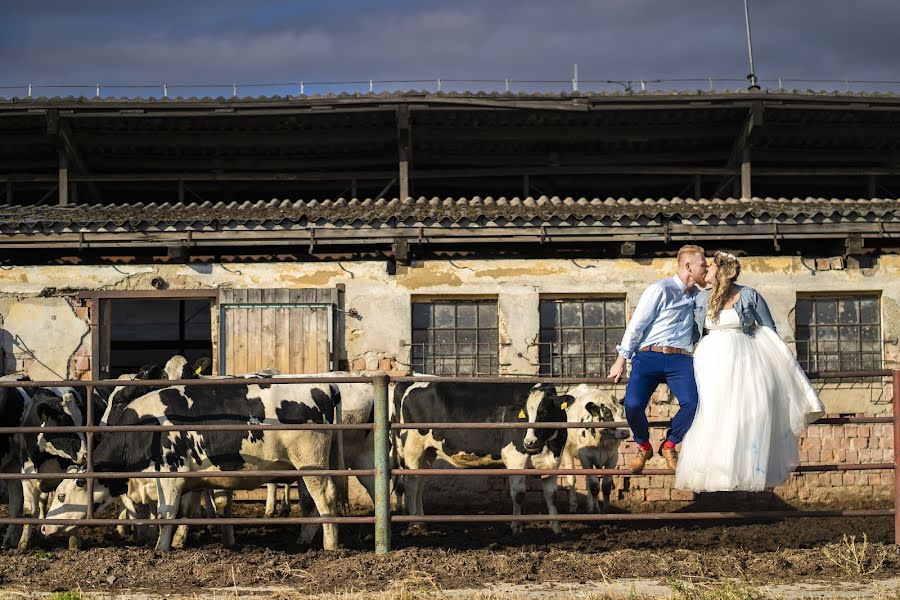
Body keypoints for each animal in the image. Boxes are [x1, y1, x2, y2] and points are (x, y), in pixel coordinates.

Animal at [38, 378, 342, 552]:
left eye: (62, 496)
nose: (43, 528)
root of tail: (324, 385)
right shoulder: (191, 478)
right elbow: (186, 510)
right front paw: (177, 541)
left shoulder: (169, 475)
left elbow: (167, 513)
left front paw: (161, 548)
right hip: (305, 466)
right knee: (313, 501)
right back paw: (305, 539)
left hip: (311, 461)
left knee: (325, 497)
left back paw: (330, 545)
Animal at [396, 382, 568, 532]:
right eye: (525, 415)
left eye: (544, 413)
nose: (529, 442)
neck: (548, 446)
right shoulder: (515, 459)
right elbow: (518, 494)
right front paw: (516, 526)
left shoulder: (553, 463)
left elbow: (551, 495)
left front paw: (556, 527)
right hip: (413, 448)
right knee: (411, 485)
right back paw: (414, 524)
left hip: (428, 453)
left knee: (419, 485)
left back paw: (422, 522)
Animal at [560, 384, 628, 516]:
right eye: (606, 412)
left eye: (622, 411)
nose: (626, 432)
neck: (600, 439)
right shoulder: (585, 457)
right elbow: (594, 485)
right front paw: (596, 511)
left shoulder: (612, 457)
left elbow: (605, 486)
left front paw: (605, 510)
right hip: (567, 452)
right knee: (572, 479)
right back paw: (573, 506)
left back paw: (589, 505)